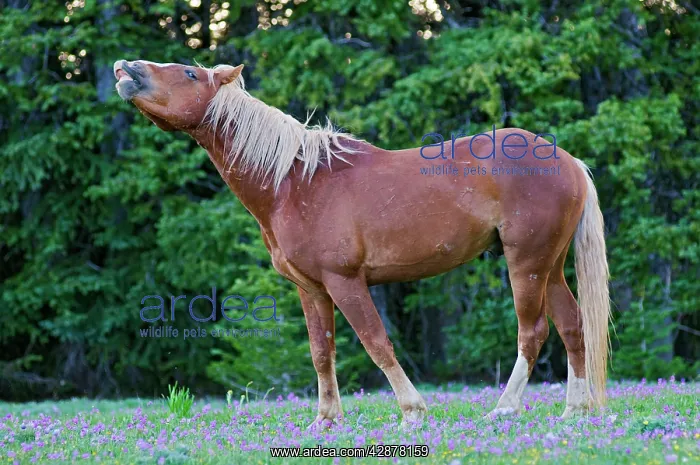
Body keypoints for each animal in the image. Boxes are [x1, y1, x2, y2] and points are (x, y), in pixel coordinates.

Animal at [114, 59, 611, 427]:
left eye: (190, 73)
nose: (126, 68)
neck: (295, 181)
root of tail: (569, 162)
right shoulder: (311, 289)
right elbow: (322, 352)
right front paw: (326, 420)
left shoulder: (345, 281)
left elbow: (375, 342)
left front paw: (412, 412)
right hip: (549, 266)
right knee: (572, 326)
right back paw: (574, 411)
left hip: (526, 263)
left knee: (533, 331)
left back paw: (505, 408)